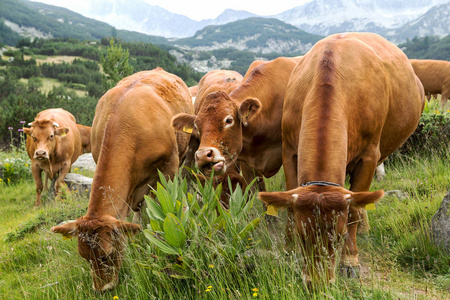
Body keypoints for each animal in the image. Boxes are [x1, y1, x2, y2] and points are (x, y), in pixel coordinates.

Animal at [258, 32, 424, 284]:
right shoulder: (289, 151)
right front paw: (288, 250)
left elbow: (353, 211)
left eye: (338, 236)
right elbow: (289, 206)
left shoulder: (369, 156)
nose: (316, 285)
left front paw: (350, 260)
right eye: (301, 235)